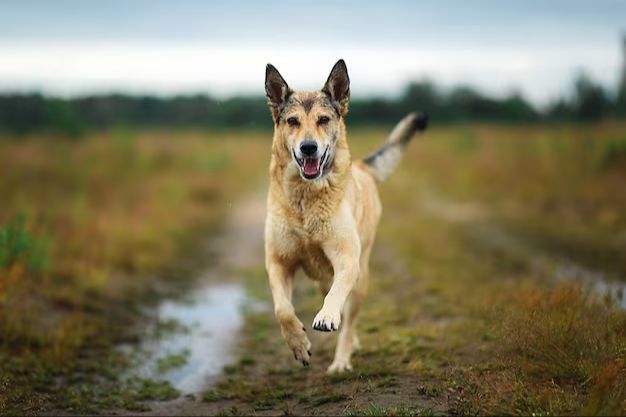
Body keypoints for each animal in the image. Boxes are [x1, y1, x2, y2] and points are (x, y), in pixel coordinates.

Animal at [260, 59, 426, 374]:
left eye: (324, 120)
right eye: (293, 121)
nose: (308, 147)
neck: (306, 200)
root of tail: (361, 166)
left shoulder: (346, 259)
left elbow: (336, 299)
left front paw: (326, 318)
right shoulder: (279, 262)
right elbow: (282, 309)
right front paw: (299, 345)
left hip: (361, 276)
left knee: (349, 319)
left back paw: (340, 360)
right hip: (323, 277)